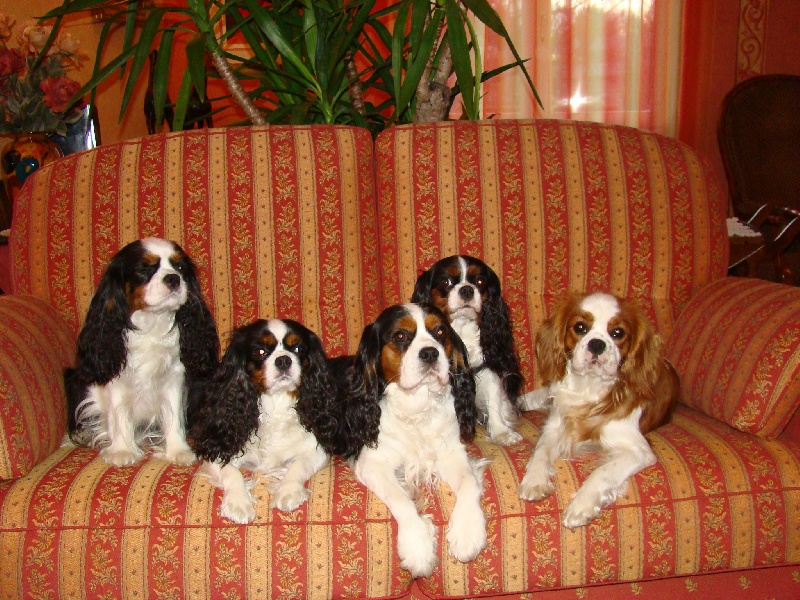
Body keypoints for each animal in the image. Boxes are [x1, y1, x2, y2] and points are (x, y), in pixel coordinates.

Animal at [64, 237, 219, 467]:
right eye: (144, 269)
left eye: (180, 268)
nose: (173, 278)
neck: (151, 323)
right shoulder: (115, 378)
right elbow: (119, 415)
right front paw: (122, 451)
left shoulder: (174, 377)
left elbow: (174, 415)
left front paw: (178, 450)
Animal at [187, 318, 337, 523]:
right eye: (260, 352)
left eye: (298, 348)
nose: (284, 360)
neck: (276, 404)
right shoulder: (216, 451)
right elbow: (231, 472)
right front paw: (238, 502)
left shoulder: (316, 450)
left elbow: (298, 465)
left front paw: (288, 491)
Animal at [322, 303, 487, 577]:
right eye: (400, 336)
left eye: (440, 332)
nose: (430, 353)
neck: (416, 405)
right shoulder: (372, 463)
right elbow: (401, 499)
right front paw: (418, 546)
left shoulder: (451, 453)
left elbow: (470, 484)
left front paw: (467, 532)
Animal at [411, 255, 523, 445]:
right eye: (446, 281)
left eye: (479, 281)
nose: (467, 289)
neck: (461, 327)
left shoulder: (486, 367)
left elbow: (494, 398)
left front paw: (501, 432)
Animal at [518, 292, 679, 528]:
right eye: (580, 327)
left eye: (618, 332)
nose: (596, 344)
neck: (589, 388)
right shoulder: (555, 428)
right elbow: (541, 451)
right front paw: (534, 480)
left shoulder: (639, 451)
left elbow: (602, 471)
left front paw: (581, 506)